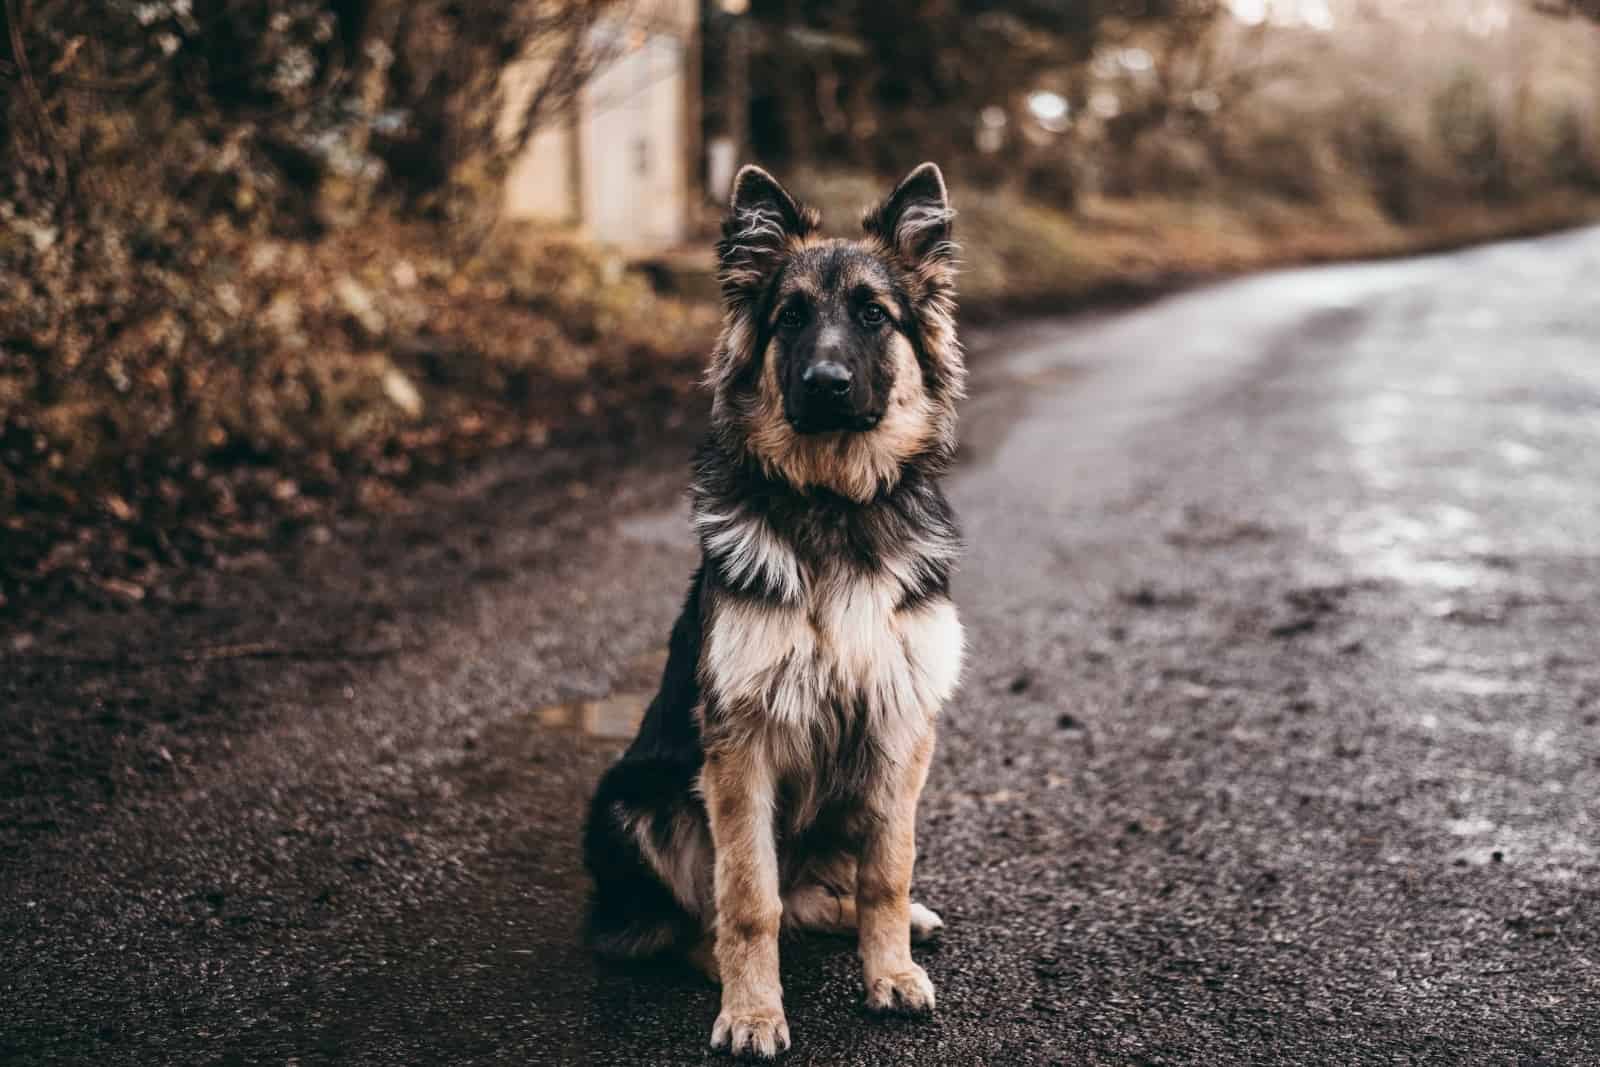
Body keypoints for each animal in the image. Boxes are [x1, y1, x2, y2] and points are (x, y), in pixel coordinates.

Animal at [585, 163, 960, 1055]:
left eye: (873, 313)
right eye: (790, 317)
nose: (825, 384)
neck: (835, 505)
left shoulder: (900, 724)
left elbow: (888, 871)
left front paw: (889, 970)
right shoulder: (741, 744)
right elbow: (748, 897)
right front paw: (754, 1009)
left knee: (823, 893)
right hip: (630, 800)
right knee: (703, 919)